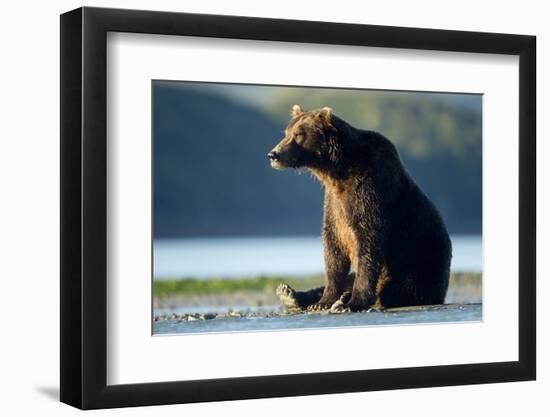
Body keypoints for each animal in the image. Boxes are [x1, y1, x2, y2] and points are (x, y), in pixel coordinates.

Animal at [268, 105, 452, 310]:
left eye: (299, 134)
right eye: (286, 132)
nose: (273, 154)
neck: (337, 172)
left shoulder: (369, 189)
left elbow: (367, 241)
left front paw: (352, 302)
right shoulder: (334, 204)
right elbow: (333, 250)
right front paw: (324, 301)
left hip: (420, 263)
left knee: (401, 288)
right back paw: (290, 294)